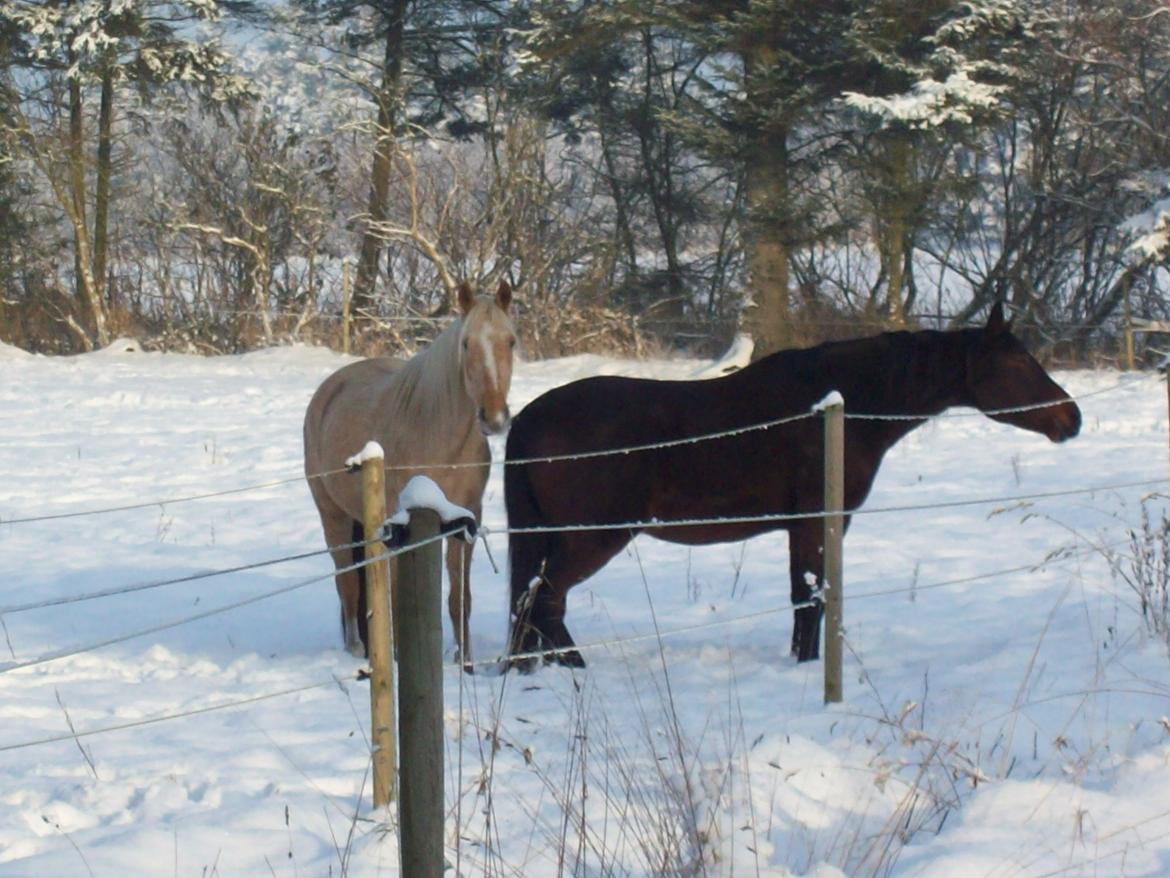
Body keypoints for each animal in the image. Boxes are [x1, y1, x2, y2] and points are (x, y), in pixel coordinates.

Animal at [304, 279, 514, 660]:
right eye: (466, 343)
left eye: (511, 341)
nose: (494, 418)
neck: (440, 441)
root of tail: (330, 387)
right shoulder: (403, 526)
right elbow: (398, 599)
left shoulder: (466, 520)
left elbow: (459, 598)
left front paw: (466, 661)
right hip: (333, 516)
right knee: (347, 581)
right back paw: (357, 648)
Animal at [507, 306, 1081, 669]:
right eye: (1015, 363)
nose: (1071, 418)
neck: (839, 407)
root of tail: (529, 418)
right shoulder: (819, 522)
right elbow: (811, 598)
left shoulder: (800, 527)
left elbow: (803, 596)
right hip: (594, 536)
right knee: (545, 600)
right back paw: (575, 669)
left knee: (530, 603)